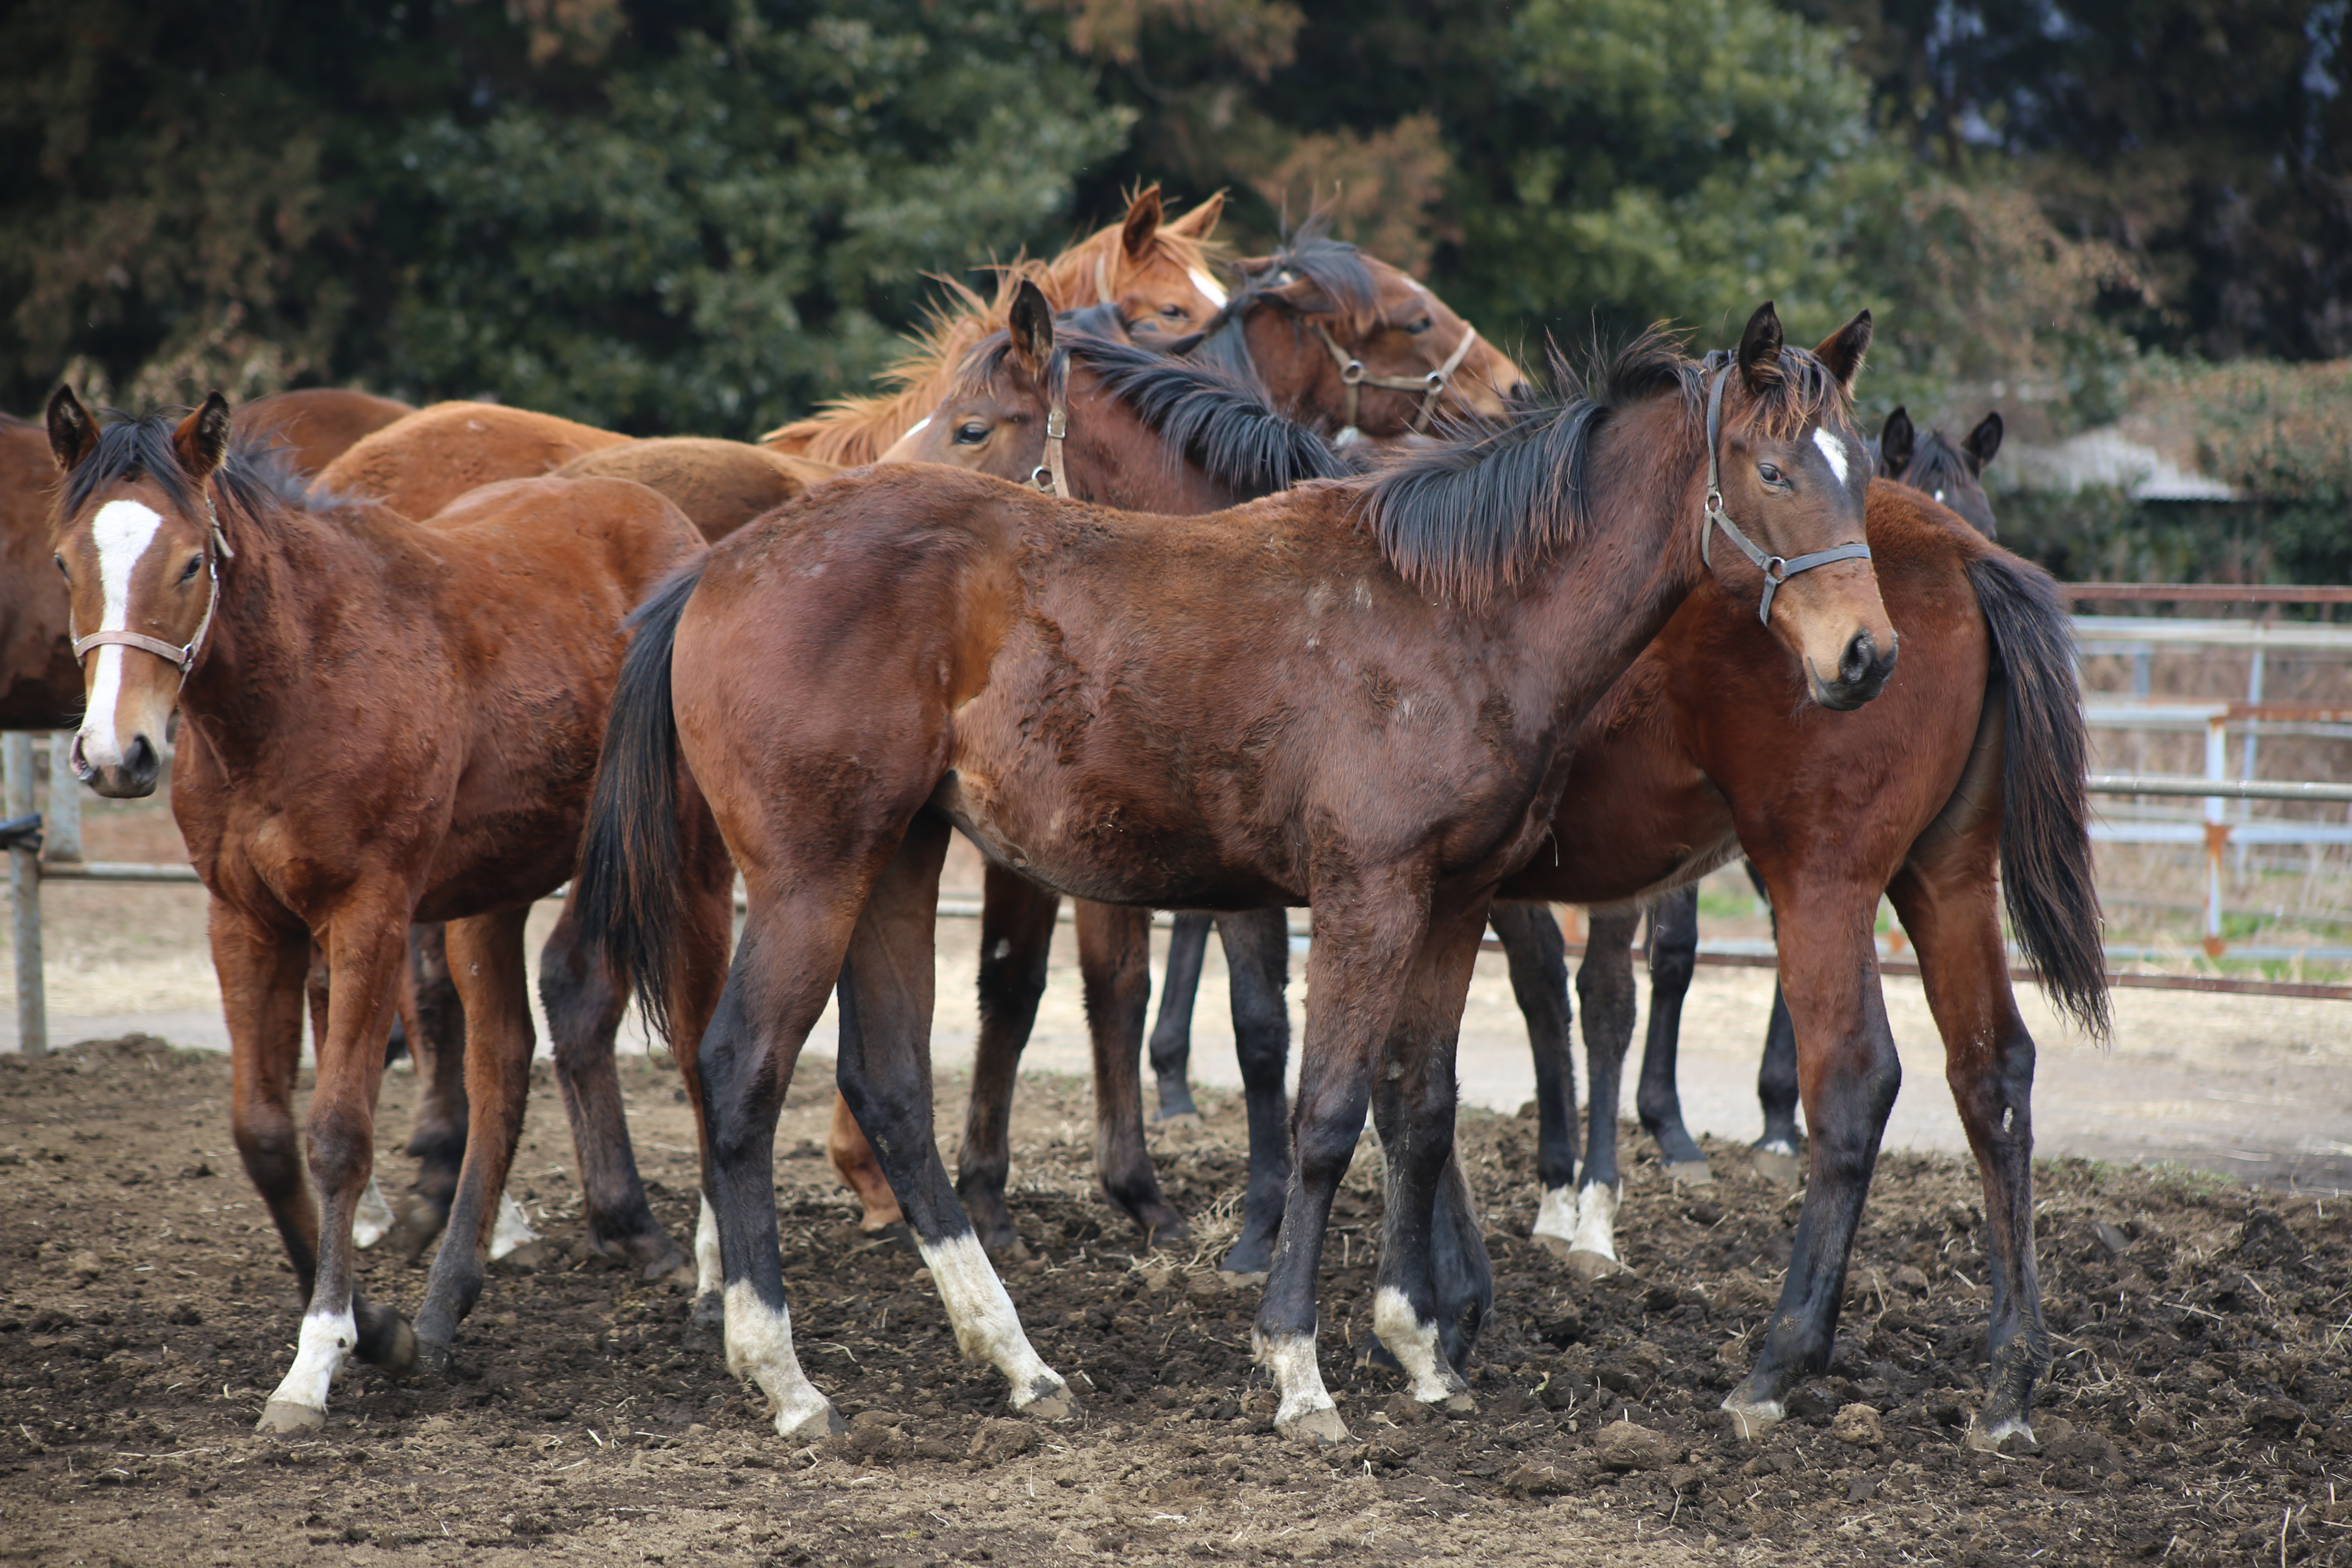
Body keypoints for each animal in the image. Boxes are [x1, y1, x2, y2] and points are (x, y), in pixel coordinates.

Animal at [46, 390, 734, 1439]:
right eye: (64, 562)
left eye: (192, 562)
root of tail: (679, 534)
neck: (300, 682)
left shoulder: (366, 913)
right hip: (489, 894)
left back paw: (709, 1292)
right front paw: (380, 1332)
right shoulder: (245, 922)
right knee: (501, 1064)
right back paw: (444, 1309)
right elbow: (264, 1134)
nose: (116, 754)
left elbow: (338, 1134)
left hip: (685, 869)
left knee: (700, 1049)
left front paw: (315, 1361)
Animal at [574, 294, 1891, 1448]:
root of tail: (721, 565)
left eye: (1858, 469)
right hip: (812, 872)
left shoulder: (1452, 902)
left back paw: (1017, 1360)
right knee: (741, 1067)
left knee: (889, 1085)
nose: (1865, 655)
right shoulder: (1364, 894)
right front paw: (1300, 1367)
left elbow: (1422, 1109)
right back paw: (784, 1373)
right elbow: (1323, 1114)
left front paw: (1422, 1350)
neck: (1457, 609)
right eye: (1773, 470)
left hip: (895, 857)